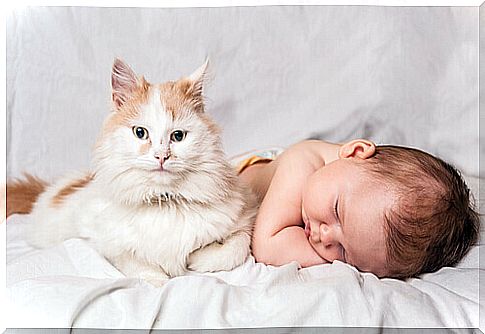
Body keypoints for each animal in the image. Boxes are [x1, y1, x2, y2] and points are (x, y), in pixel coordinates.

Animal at [7, 58, 258, 286]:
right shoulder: (103, 242)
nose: (161, 156)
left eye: (177, 136)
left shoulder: (245, 217)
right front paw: (161, 281)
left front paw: (197, 259)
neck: (165, 202)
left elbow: (235, 248)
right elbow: (137, 264)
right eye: (140, 133)